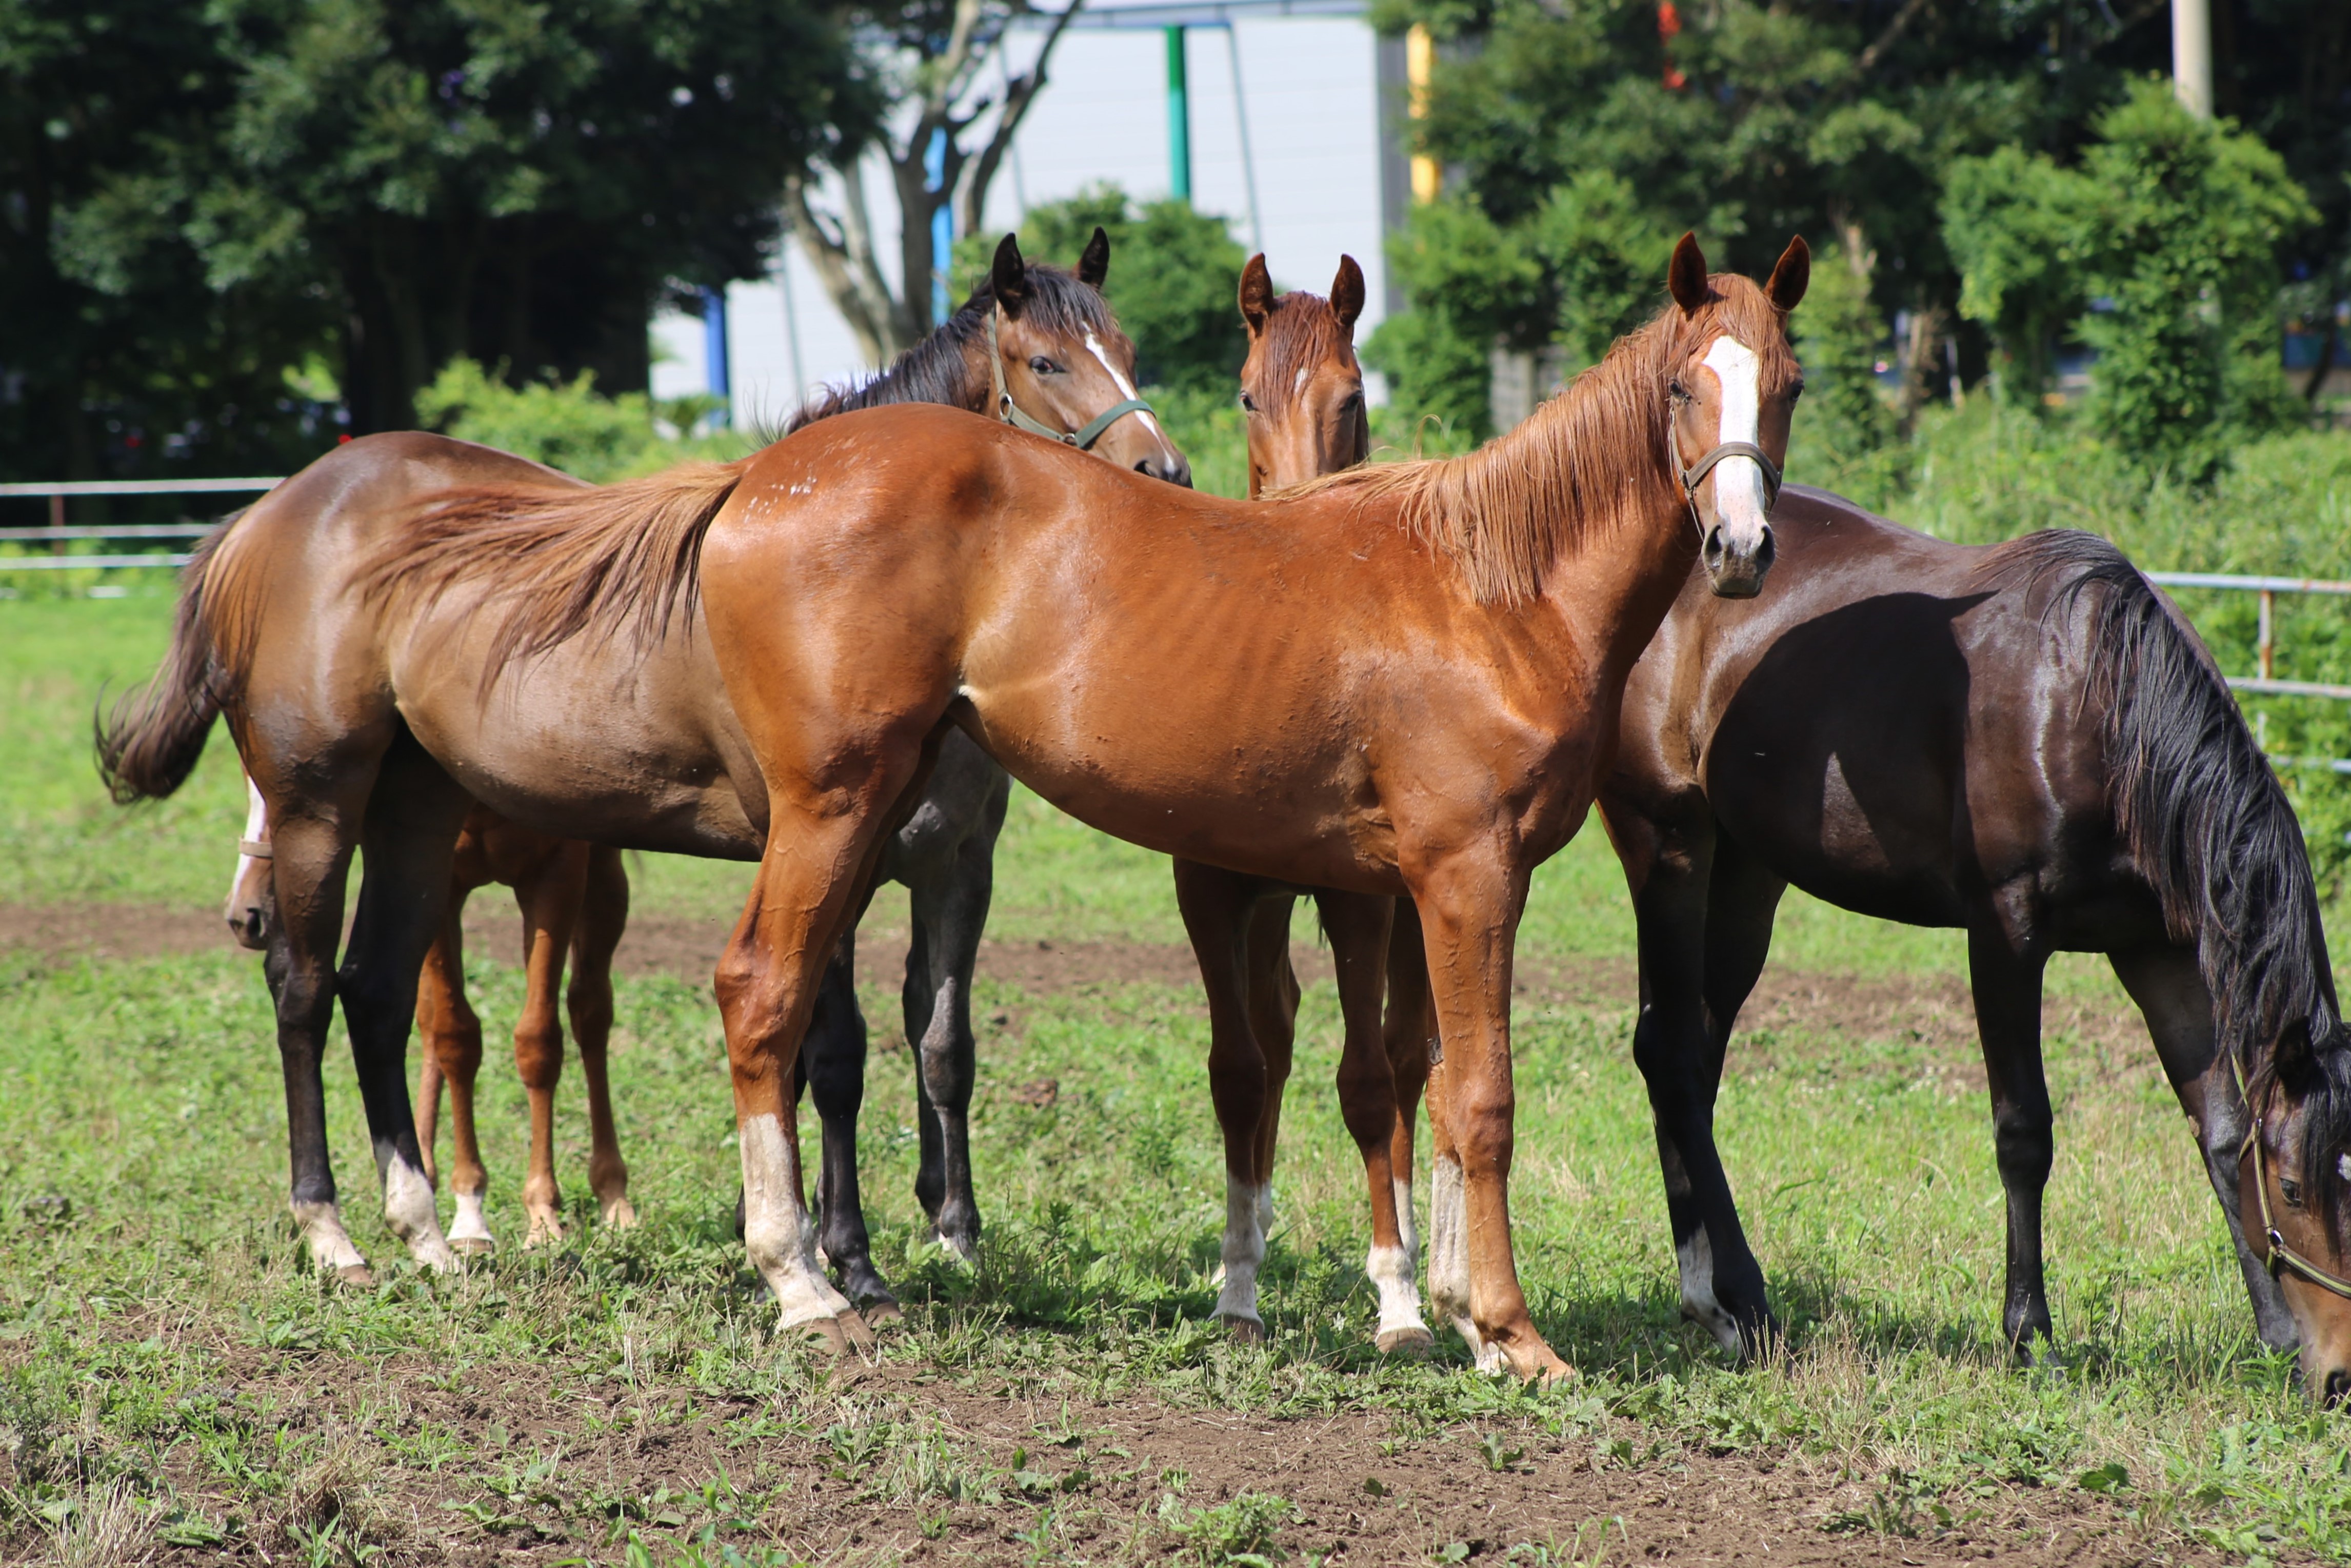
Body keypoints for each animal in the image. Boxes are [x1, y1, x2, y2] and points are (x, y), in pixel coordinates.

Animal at [101, 230, 1185, 1316]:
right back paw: (331, 1231)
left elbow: (923, 1043)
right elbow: (830, 1053)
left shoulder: (933, 861)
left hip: (414, 813)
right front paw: (844, 1256)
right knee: (304, 987)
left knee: (375, 989)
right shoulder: (824, 842)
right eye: (1044, 362)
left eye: (1128, 349)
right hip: (317, 807)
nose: (1164, 469)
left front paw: (890, 1241)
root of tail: (272, 513)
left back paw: (427, 1233)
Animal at [1599, 493, 2351, 1401]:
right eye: (2294, 1189)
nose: (2341, 1376)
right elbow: (2025, 1133)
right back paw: (1738, 1298)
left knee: (1692, 1059)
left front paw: (2275, 1332)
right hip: (1666, 840)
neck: (2095, 705)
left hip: (1748, 871)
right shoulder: (2006, 933)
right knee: (1671, 1053)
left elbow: (2220, 1126)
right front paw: (2031, 1335)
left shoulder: (2161, 951)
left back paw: (1707, 1293)